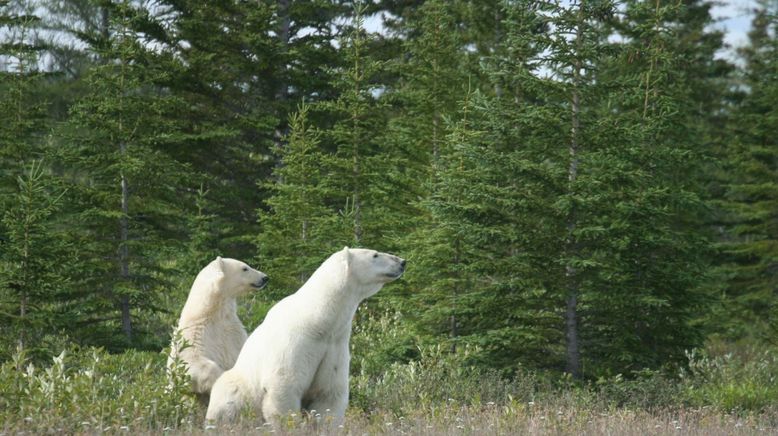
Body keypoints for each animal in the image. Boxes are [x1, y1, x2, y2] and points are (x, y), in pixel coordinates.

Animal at [168, 255, 268, 402]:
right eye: (245, 268)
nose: (265, 278)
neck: (209, 312)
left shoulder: (232, 328)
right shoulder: (194, 338)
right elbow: (193, 364)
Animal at [206, 247, 406, 424]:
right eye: (375, 254)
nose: (402, 262)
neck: (317, 321)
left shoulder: (334, 345)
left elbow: (328, 394)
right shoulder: (295, 344)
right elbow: (284, 387)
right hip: (237, 389)